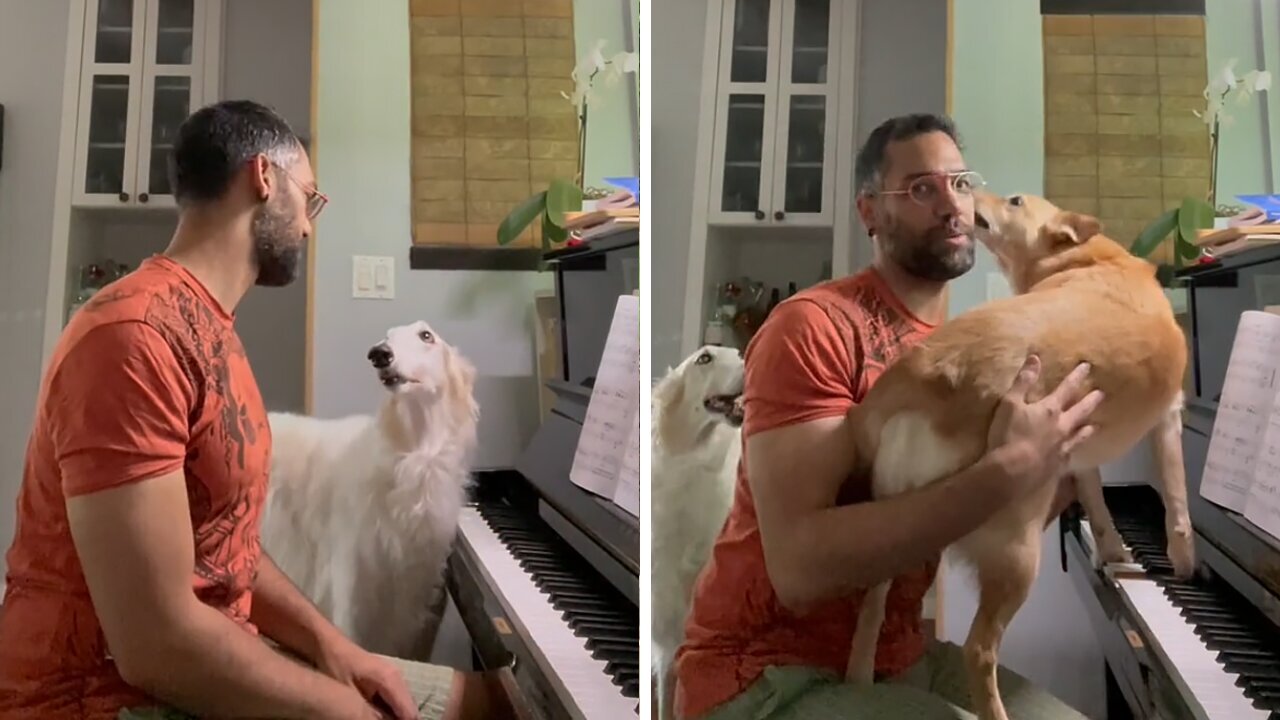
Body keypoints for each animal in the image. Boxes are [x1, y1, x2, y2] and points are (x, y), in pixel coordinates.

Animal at [259, 322, 481, 661]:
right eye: (388, 336)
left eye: (426, 335)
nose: (378, 354)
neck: (411, 459)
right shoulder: (351, 600)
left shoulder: (419, 614)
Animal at [844, 190, 1192, 717]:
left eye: (1013, 200)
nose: (968, 188)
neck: (1081, 260)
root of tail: (930, 371)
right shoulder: (1170, 416)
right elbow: (1176, 499)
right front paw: (1186, 562)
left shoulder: (1081, 450)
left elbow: (1098, 502)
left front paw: (1113, 550)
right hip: (1017, 554)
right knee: (979, 648)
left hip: (891, 529)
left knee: (870, 606)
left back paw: (861, 681)